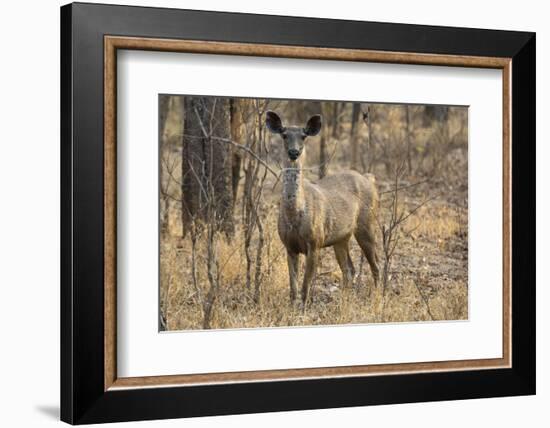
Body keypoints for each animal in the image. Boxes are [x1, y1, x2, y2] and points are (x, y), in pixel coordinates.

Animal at [266, 110, 380, 304]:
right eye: (284, 134)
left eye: (303, 136)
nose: (294, 152)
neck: (295, 217)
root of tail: (369, 178)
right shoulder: (289, 246)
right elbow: (293, 289)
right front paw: (292, 307)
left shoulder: (315, 243)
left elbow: (305, 288)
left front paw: (303, 308)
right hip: (341, 237)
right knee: (349, 270)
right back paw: (345, 301)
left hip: (367, 224)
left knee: (376, 265)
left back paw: (380, 297)